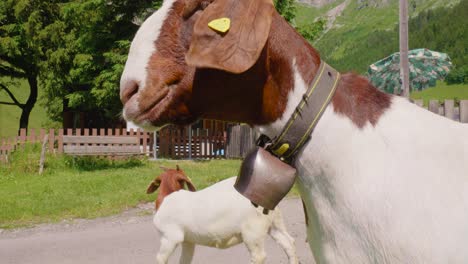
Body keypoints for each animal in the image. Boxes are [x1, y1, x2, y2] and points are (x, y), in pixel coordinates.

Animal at [146, 165, 298, 264]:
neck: (168, 196)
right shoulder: (188, 241)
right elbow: (185, 260)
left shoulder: (170, 237)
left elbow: (160, 259)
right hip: (274, 223)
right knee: (288, 242)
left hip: (253, 231)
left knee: (259, 256)